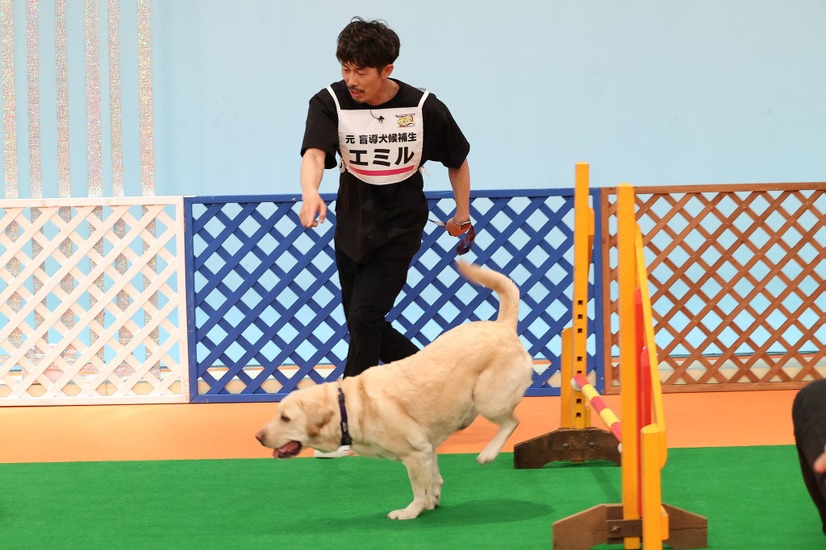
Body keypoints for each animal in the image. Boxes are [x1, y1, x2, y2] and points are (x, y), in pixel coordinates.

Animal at [254, 264, 532, 520]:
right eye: (277, 414)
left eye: (285, 418)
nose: (257, 436)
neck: (349, 408)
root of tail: (503, 326)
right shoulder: (427, 449)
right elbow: (434, 479)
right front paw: (433, 500)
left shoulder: (415, 454)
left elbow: (419, 489)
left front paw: (410, 511)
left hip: (488, 399)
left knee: (513, 421)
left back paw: (488, 453)